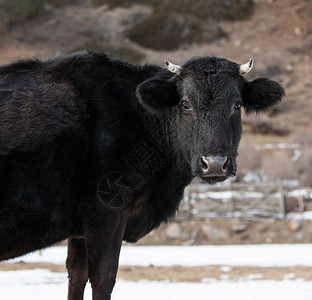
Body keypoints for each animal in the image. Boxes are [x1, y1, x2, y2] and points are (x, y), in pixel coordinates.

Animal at [0, 52, 284, 300]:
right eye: (185, 104)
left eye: (237, 104)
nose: (214, 164)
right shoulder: (107, 209)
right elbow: (102, 277)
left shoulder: (79, 227)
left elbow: (76, 274)